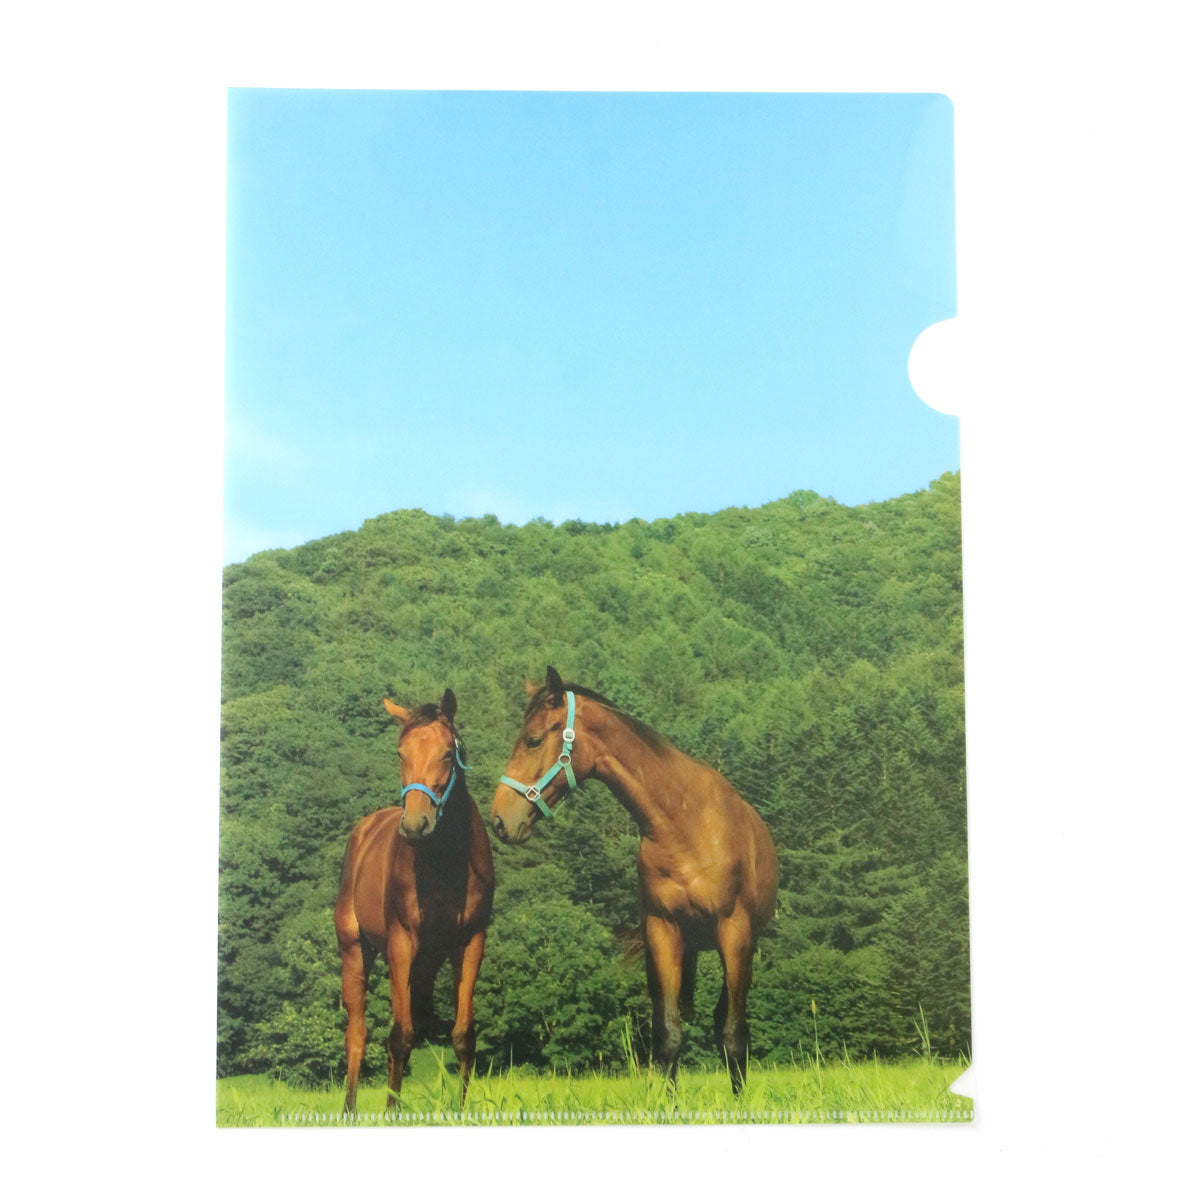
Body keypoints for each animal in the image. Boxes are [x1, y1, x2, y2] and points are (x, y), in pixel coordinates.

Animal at [334, 689, 494, 1112]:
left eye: (447, 752)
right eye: (400, 752)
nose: (416, 825)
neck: (445, 862)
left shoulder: (471, 941)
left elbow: (462, 1034)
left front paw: (460, 1110)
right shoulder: (401, 943)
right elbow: (399, 1036)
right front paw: (391, 1111)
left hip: (427, 962)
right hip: (355, 949)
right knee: (357, 1033)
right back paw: (350, 1109)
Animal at [489, 667, 778, 1093]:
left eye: (534, 739)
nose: (499, 820)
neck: (683, 823)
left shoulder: (735, 933)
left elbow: (734, 1035)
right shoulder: (662, 931)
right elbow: (668, 1034)